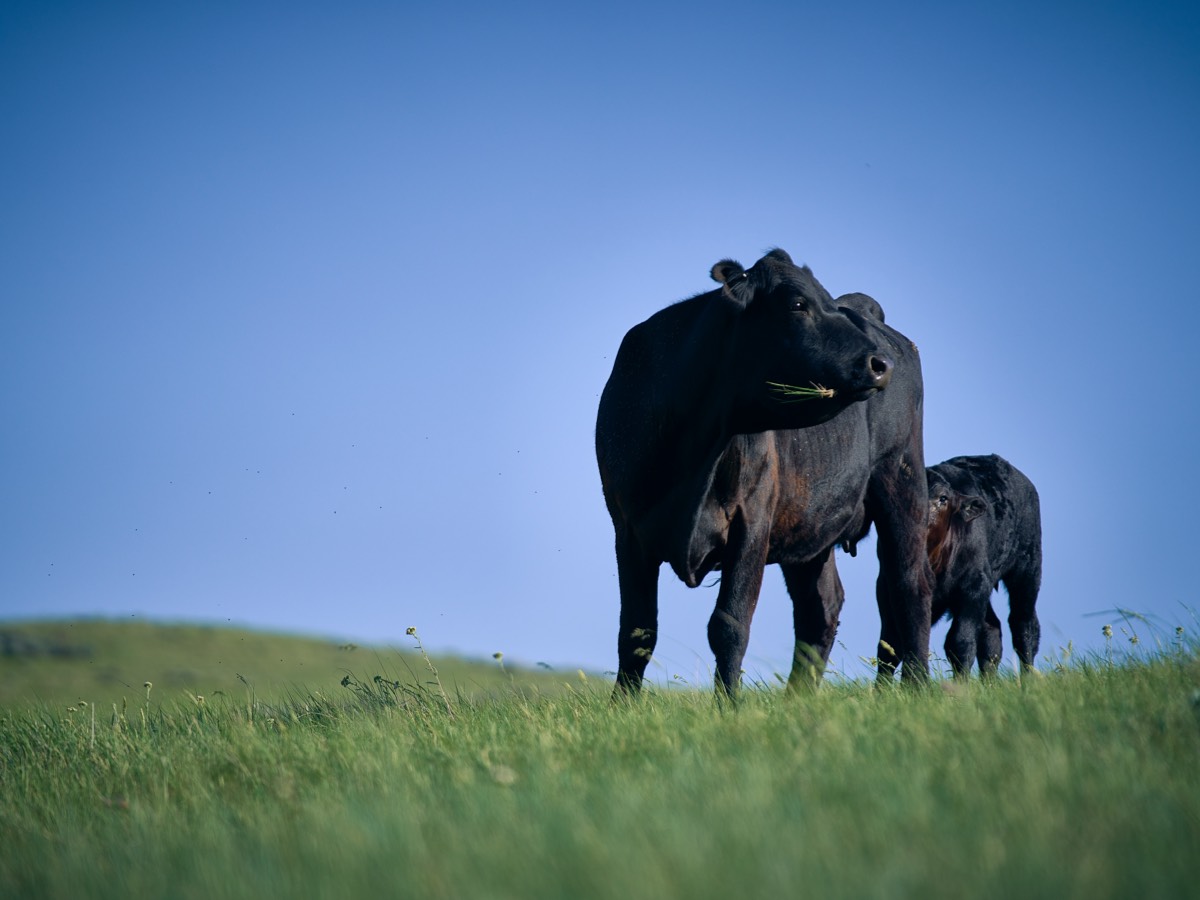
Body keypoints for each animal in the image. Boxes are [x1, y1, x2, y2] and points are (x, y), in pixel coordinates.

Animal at [595, 249, 934, 698]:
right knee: (821, 608)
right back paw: (798, 698)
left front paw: (728, 705)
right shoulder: (628, 529)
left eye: (825, 300)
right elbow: (637, 632)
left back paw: (917, 686)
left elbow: (729, 625)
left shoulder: (751, 521)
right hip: (812, 526)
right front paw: (623, 704)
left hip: (902, 479)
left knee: (910, 584)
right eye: (797, 304)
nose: (880, 364)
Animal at [878, 454, 1042, 679]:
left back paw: (1028, 679)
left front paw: (960, 684)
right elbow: (890, 645)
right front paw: (880, 687)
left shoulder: (973, 586)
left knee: (1024, 626)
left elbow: (960, 642)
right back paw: (988, 680)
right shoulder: (886, 585)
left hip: (1027, 568)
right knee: (992, 629)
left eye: (943, 498)